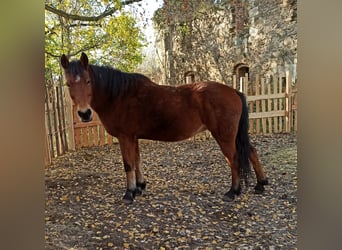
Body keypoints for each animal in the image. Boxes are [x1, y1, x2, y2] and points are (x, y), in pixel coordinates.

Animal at [61, 52, 268, 203]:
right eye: (68, 84)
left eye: (88, 81)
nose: (84, 114)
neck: (119, 95)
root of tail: (234, 91)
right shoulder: (133, 137)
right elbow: (137, 161)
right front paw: (140, 187)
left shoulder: (125, 137)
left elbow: (128, 164)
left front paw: (129, 193)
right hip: (235, 135)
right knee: (251, 150)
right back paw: (261, 184)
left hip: (224, 136)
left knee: (233, 159)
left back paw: (233, 191)